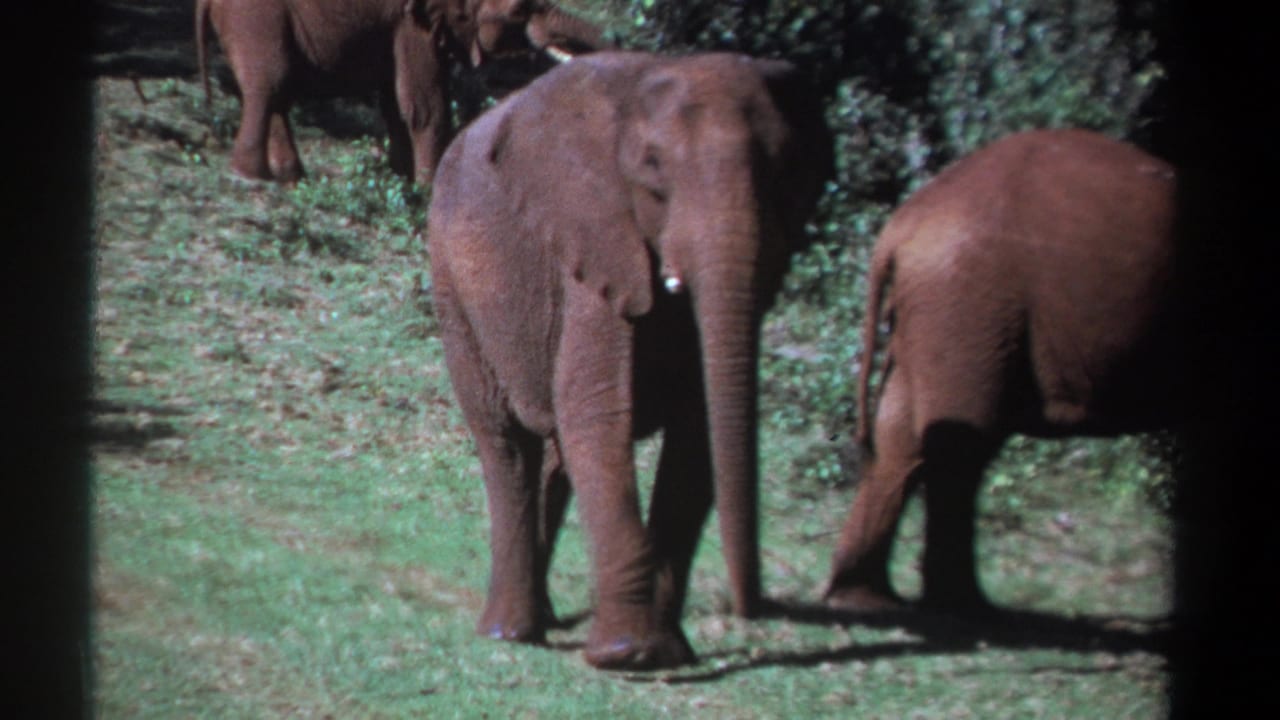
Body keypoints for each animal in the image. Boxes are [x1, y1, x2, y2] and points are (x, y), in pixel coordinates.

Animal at [194, 0, 609, 184]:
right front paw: (426, 189)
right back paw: (251, 176)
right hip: (255, 17)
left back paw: (290, 176)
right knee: (268, 86)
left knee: (277, 93)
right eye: (520, 10)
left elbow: (396, 103)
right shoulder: (414, 22)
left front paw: (401, 180)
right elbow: (425, 104)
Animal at [426, 51, 833, 669]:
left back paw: (543, 620)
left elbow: (697, 431)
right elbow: (594, 411)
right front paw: (628, 655)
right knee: (506, 441)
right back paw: (509, 633)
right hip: (453, 284)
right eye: (653, 167)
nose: (751, 608)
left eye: (785, 170)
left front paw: (666, 651)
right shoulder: (595, 244)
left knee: (553, 454)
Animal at [823, 128, 1181, 614]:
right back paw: (961, 610)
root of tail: (902, 225)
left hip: (945, 308)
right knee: (961, 447)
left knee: (905, 437)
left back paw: (870, 601)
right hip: (969, 301)